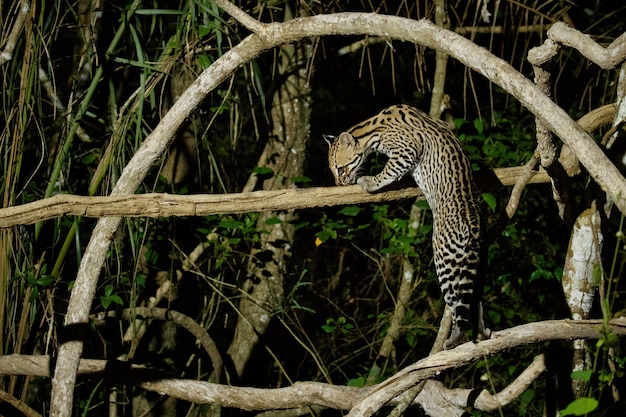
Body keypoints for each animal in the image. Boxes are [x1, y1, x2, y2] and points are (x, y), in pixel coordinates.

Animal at [324, 104, 490, 348]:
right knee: (476, 297)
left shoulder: (409, 148)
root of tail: (474, 222)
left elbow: (388, 171)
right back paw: (482, 332)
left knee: (457, 302)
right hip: (477, 261)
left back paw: (454, 338)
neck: (373, 128)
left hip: (445, 259)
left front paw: (369, 181)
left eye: (340, 168)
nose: (339, 184)